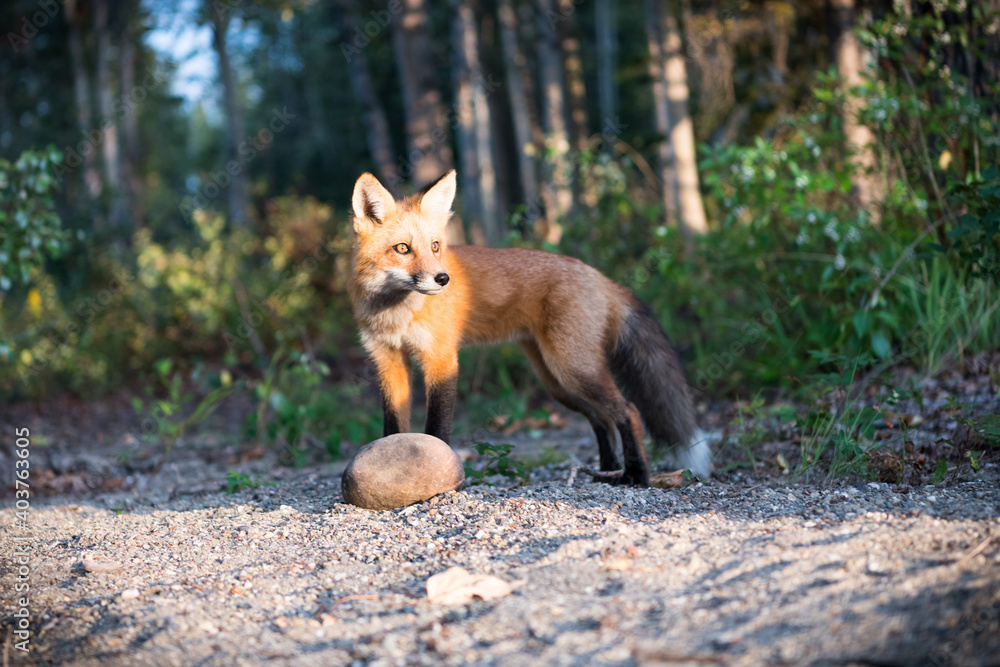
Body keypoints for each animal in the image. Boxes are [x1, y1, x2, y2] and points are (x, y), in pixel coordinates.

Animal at [349, 169, 711, 486]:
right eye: (402, 248)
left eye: (435, 246)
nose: (443, 279)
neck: (395, 311)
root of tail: (598, 275)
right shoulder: (388, 360)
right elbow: (393, 427)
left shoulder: (441, 359)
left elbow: (437, 428)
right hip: (556, 380)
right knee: (602, 419)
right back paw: (608, 471)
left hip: (573, 369)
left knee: (628, 411)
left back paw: (636, 475)